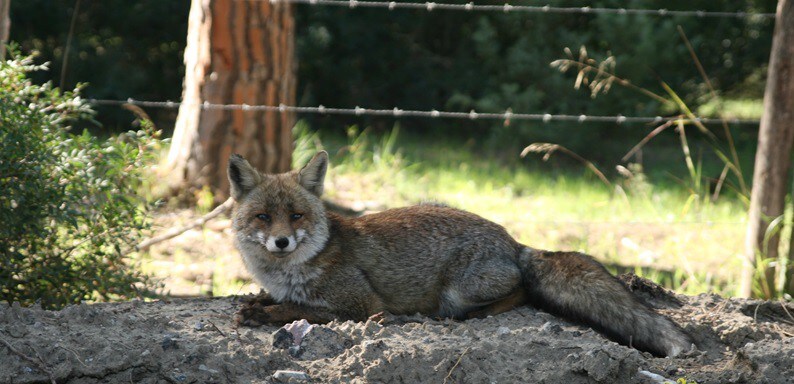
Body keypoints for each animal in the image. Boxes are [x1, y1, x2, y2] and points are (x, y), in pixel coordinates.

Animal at [226, 151, 688, 356]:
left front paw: (265, 314)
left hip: (458, 290)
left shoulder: (362, 305)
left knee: (520, 291)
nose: (282, 242)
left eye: (296, 216)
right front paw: (259, 302)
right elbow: (280, 299)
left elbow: (301, 309)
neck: (287, 271)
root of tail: (514, 242)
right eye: (264, 217)